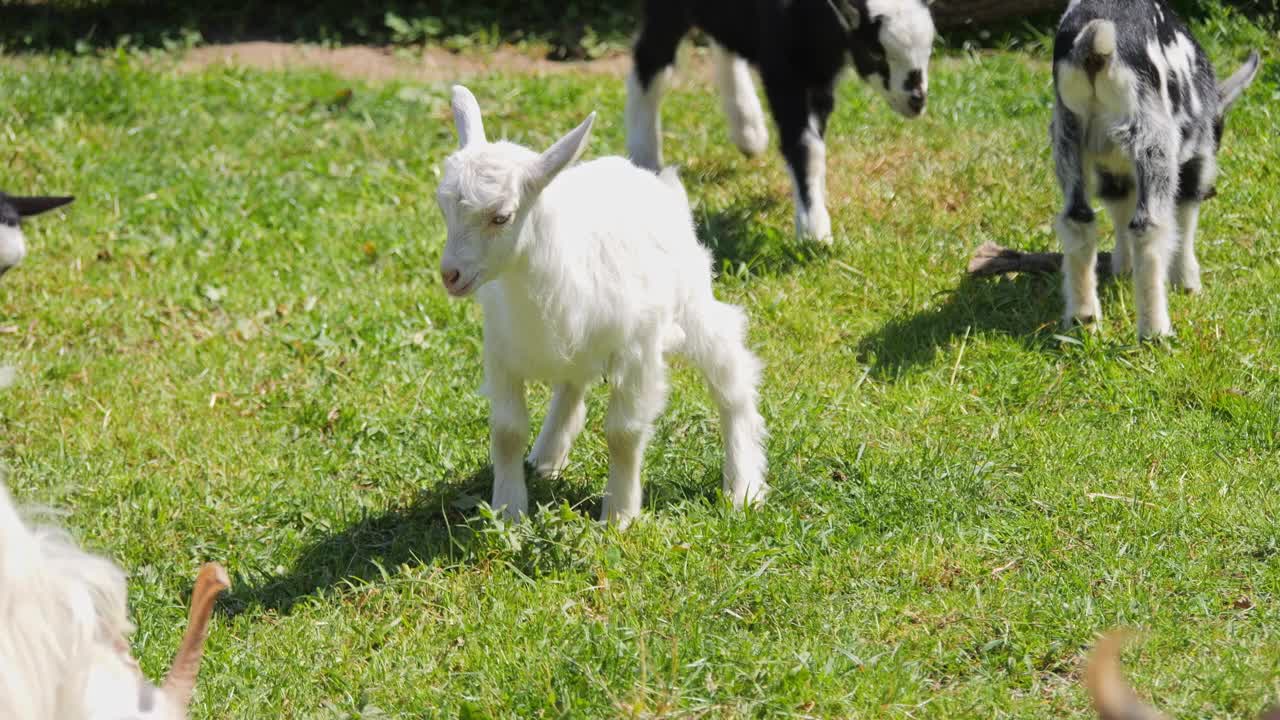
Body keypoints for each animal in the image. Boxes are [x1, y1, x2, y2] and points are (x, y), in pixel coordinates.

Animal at [435, 83, 762, 525]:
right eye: (444, 208)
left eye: (501, 217)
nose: (449, 274)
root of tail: (647, 177)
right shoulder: (501, 350)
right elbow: (507, 431)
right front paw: (508, 511)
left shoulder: (637, 350)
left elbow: (623, 434)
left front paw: (619, 516)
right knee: (572, 383)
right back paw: (547, 454)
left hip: (692, 300)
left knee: (731, 374)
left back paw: (742, 482)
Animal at [624, 0, 936, 242]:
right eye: (875, 52)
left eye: (929, 48)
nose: (917, 101)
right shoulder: (784, 66)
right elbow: (806, 147)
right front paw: (814, 230)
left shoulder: (820, 72)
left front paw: (814, 209)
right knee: (650, 59)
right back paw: (645, 156)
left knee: (725, 39)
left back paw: (748, 129)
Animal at [1049, 0, 1259, 335]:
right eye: (1220, 130)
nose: (1213, 191)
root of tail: (1093, 48)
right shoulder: (1194, 161)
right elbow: (1184, 218)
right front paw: (1187, 283)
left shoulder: (1112, 172)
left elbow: (1119, 211)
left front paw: (1122, 270)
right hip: (1153, 139)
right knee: (1147, 226)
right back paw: (1155, 330)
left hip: (1068, 135)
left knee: (1077, 219)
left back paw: (1084, 319)